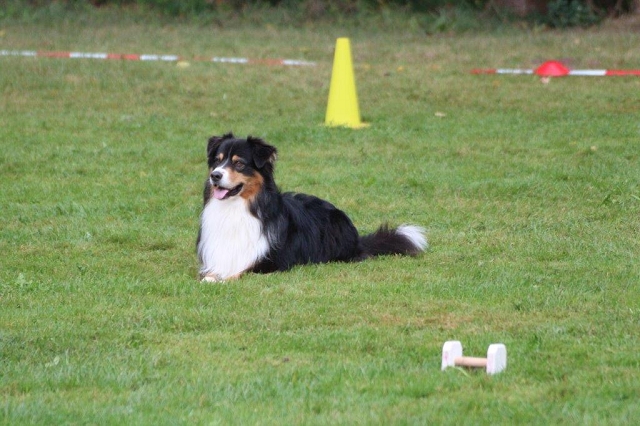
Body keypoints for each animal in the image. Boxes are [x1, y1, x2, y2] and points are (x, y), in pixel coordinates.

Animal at [196, 133, 427, 282]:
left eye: (239, 163)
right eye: (217, 161)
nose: (215, 175)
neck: (238, 207)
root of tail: (357, 239)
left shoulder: (272, 262)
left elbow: (239, 272)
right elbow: (210, 273)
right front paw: (211, 278)